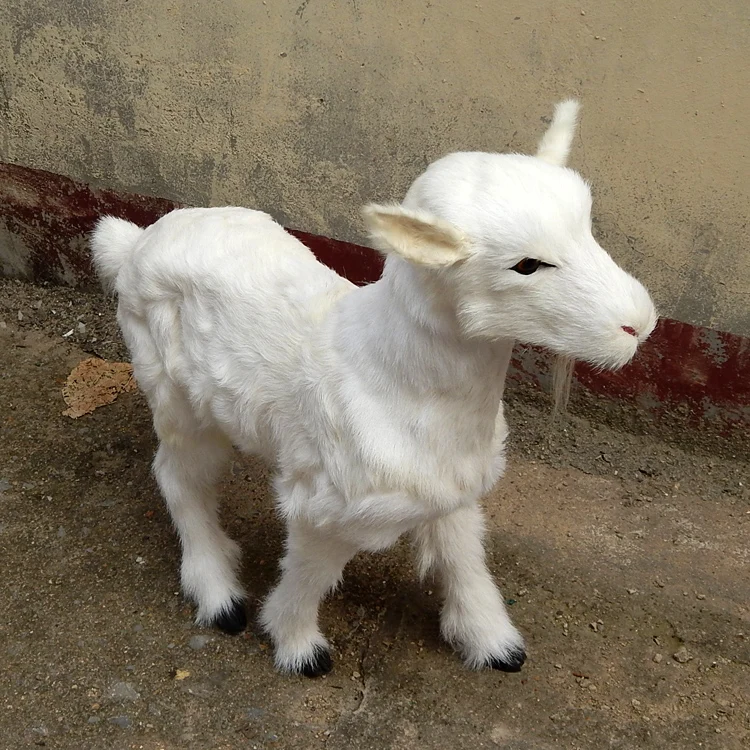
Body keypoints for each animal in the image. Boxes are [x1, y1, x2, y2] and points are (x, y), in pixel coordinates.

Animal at [91, 100, 658, 677]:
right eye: (526, 265)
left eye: (588, 227)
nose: (638, 325)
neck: (392, 376)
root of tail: (132, 243)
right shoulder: (326, 505)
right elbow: (310, 575)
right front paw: (296, 645)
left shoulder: (450, 486)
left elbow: (463, 554)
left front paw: (492, 641)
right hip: (172, 392)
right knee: (178, 475)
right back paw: (217, 592)